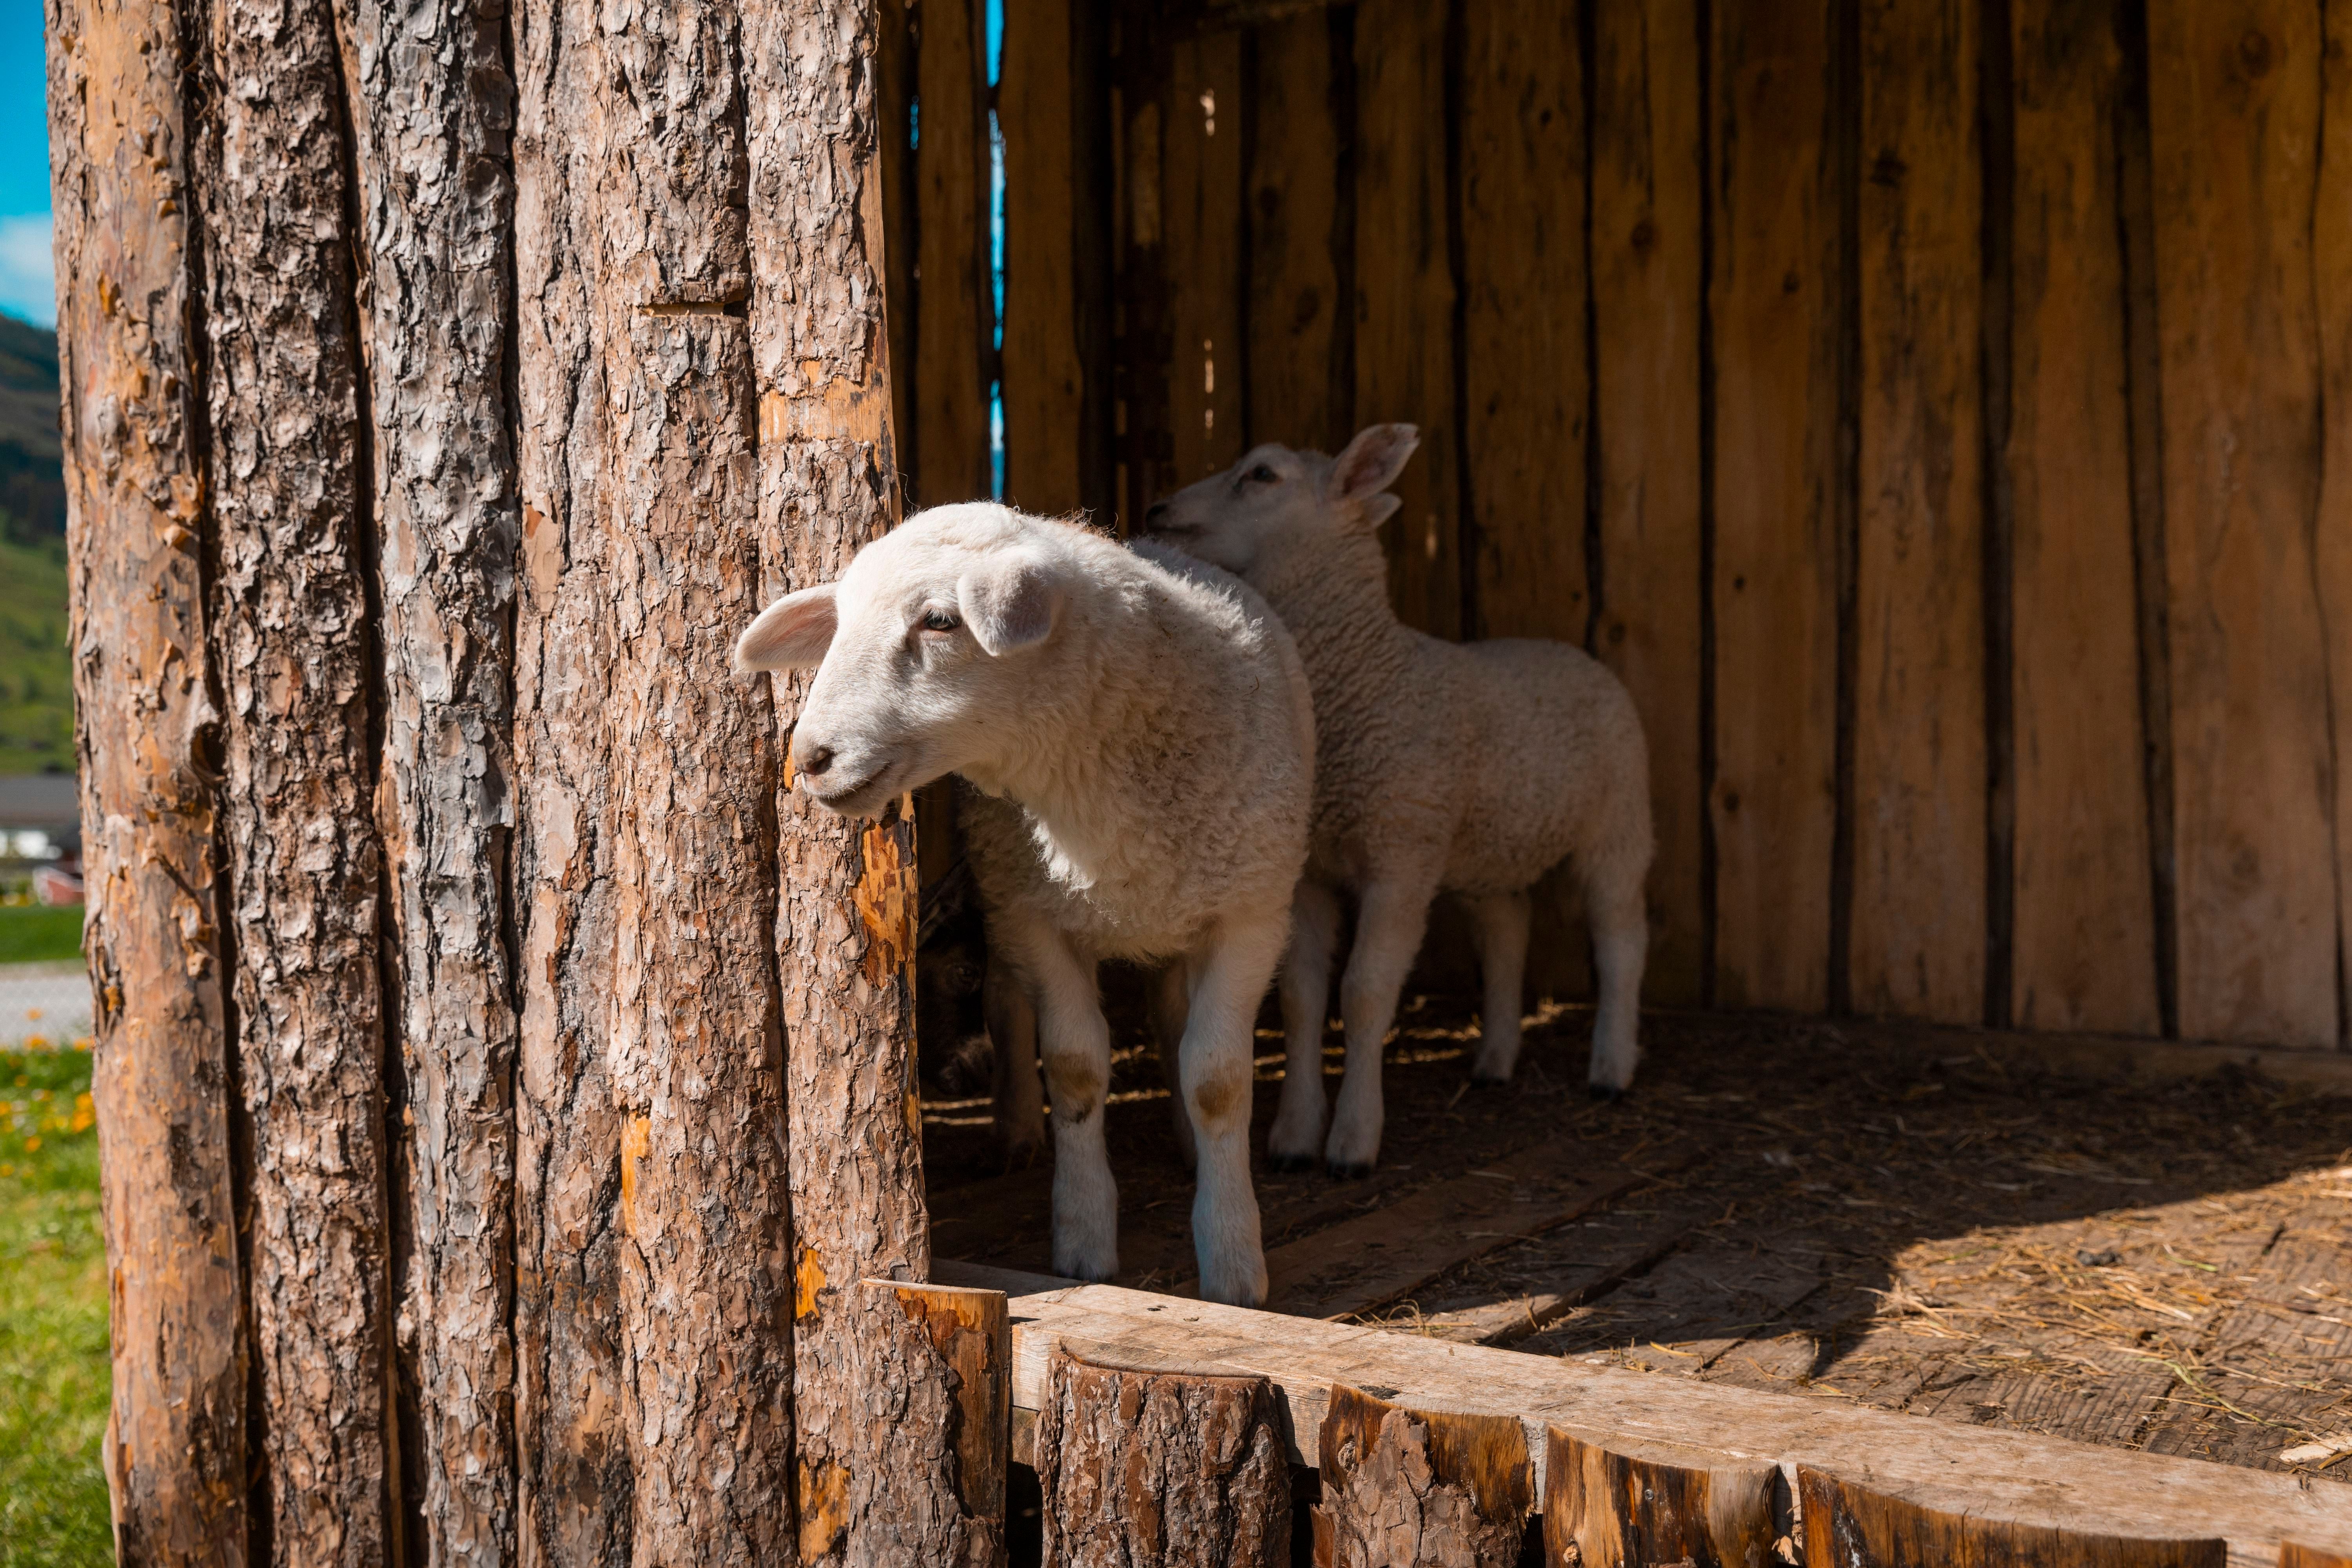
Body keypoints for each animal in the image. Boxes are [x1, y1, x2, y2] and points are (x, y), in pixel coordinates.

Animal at [733, 502, 1314, 1306]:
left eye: (940, 621)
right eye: (841, 622)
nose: (810, 759)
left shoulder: (1253, 914)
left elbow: (1218, 1083)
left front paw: (1232, 1258)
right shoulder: (1038, 915)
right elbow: (1073, 1066)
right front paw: (1083, 1236)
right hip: (1003, 885)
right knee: (1010, 1000)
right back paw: (1017, 1130)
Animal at [1142, 424, 1654, 1176]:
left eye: (1262, 475)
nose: (1158, 511)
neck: (1367, 677)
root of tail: (1573, 653)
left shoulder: (1400, 856)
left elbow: (1364, 993)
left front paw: (1353, 1141)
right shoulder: (1313, 871)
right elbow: (1302, 998)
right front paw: (1295, 1136)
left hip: (1617, 823)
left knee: (1620, 938)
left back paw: (1612, 1070)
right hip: (1489, 844)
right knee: (1508, 929)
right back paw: (1495, 1061)